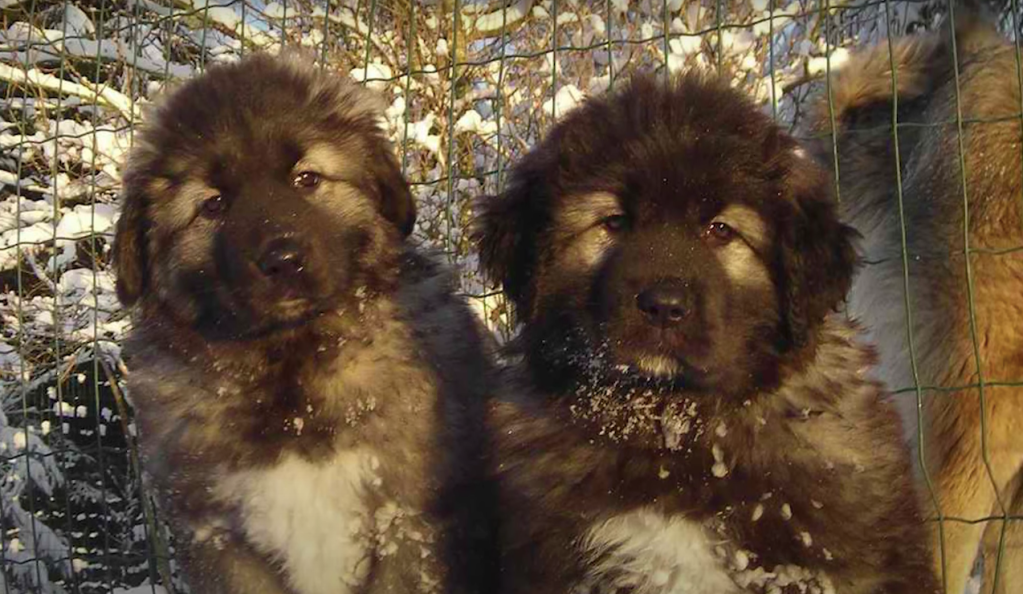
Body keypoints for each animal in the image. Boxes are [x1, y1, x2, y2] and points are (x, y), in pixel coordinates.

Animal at [114, 52, 497, 592]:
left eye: (307, 179)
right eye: (214, 204)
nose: (283, 260)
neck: (292, 371)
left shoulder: (410, 521)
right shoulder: (220, 540)